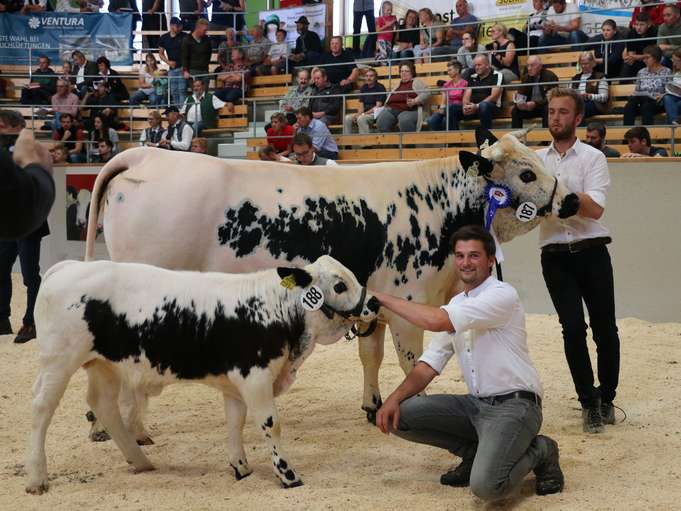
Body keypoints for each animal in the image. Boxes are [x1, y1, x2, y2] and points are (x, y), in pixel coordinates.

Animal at [26, 256, 380, 496]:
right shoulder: (255, 379)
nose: (375, 302)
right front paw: (288, 475)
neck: (271, 308)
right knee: (42, 409)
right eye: (339, 285)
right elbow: (270, 424)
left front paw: (241, 467)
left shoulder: (236, 385)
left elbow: (235, 422)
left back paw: (140, 460)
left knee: (103, 405)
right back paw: (37, 478)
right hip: (59, 362)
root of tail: (67, 266)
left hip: (103, 365)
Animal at [82, 130, 576, 426]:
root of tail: (143, 153)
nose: (571, 200)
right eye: (526, 172)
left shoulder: (374, 302)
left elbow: (371, 356)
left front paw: (372, 405)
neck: (436, 202)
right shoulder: (411, 303)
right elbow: (408, 361)